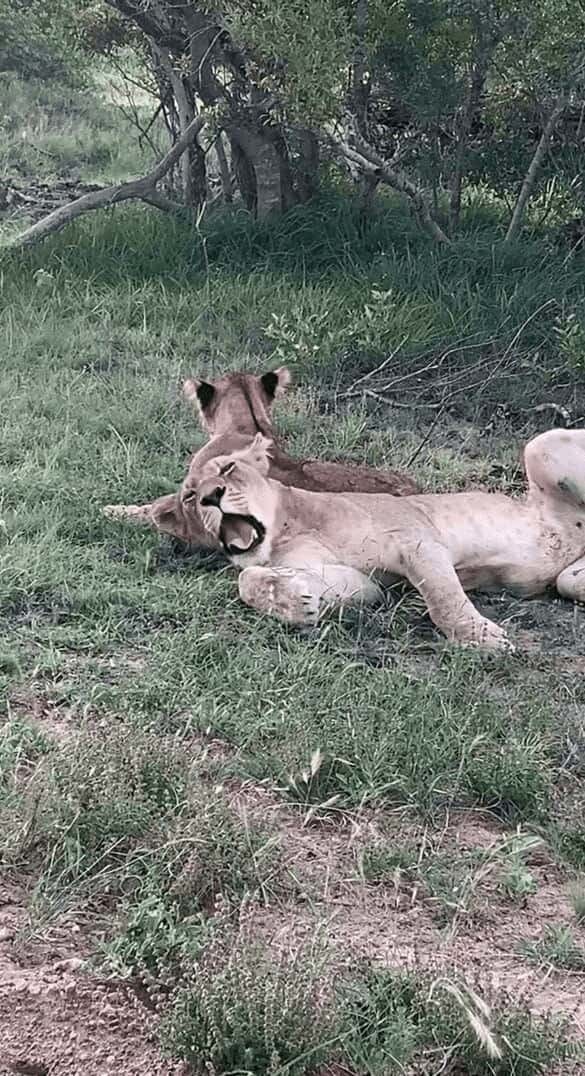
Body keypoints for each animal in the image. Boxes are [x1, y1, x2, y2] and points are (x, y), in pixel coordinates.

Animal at [194, 426, 585, 645]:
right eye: (192, 498)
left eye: (228, 468)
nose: (209, 496)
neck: (288, 528)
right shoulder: (366, 582)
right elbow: (247, 576)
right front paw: (293, 602)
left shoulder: (415, 539)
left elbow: (443, 599)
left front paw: (480, 638)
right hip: (567, 579)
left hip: (540, 446)